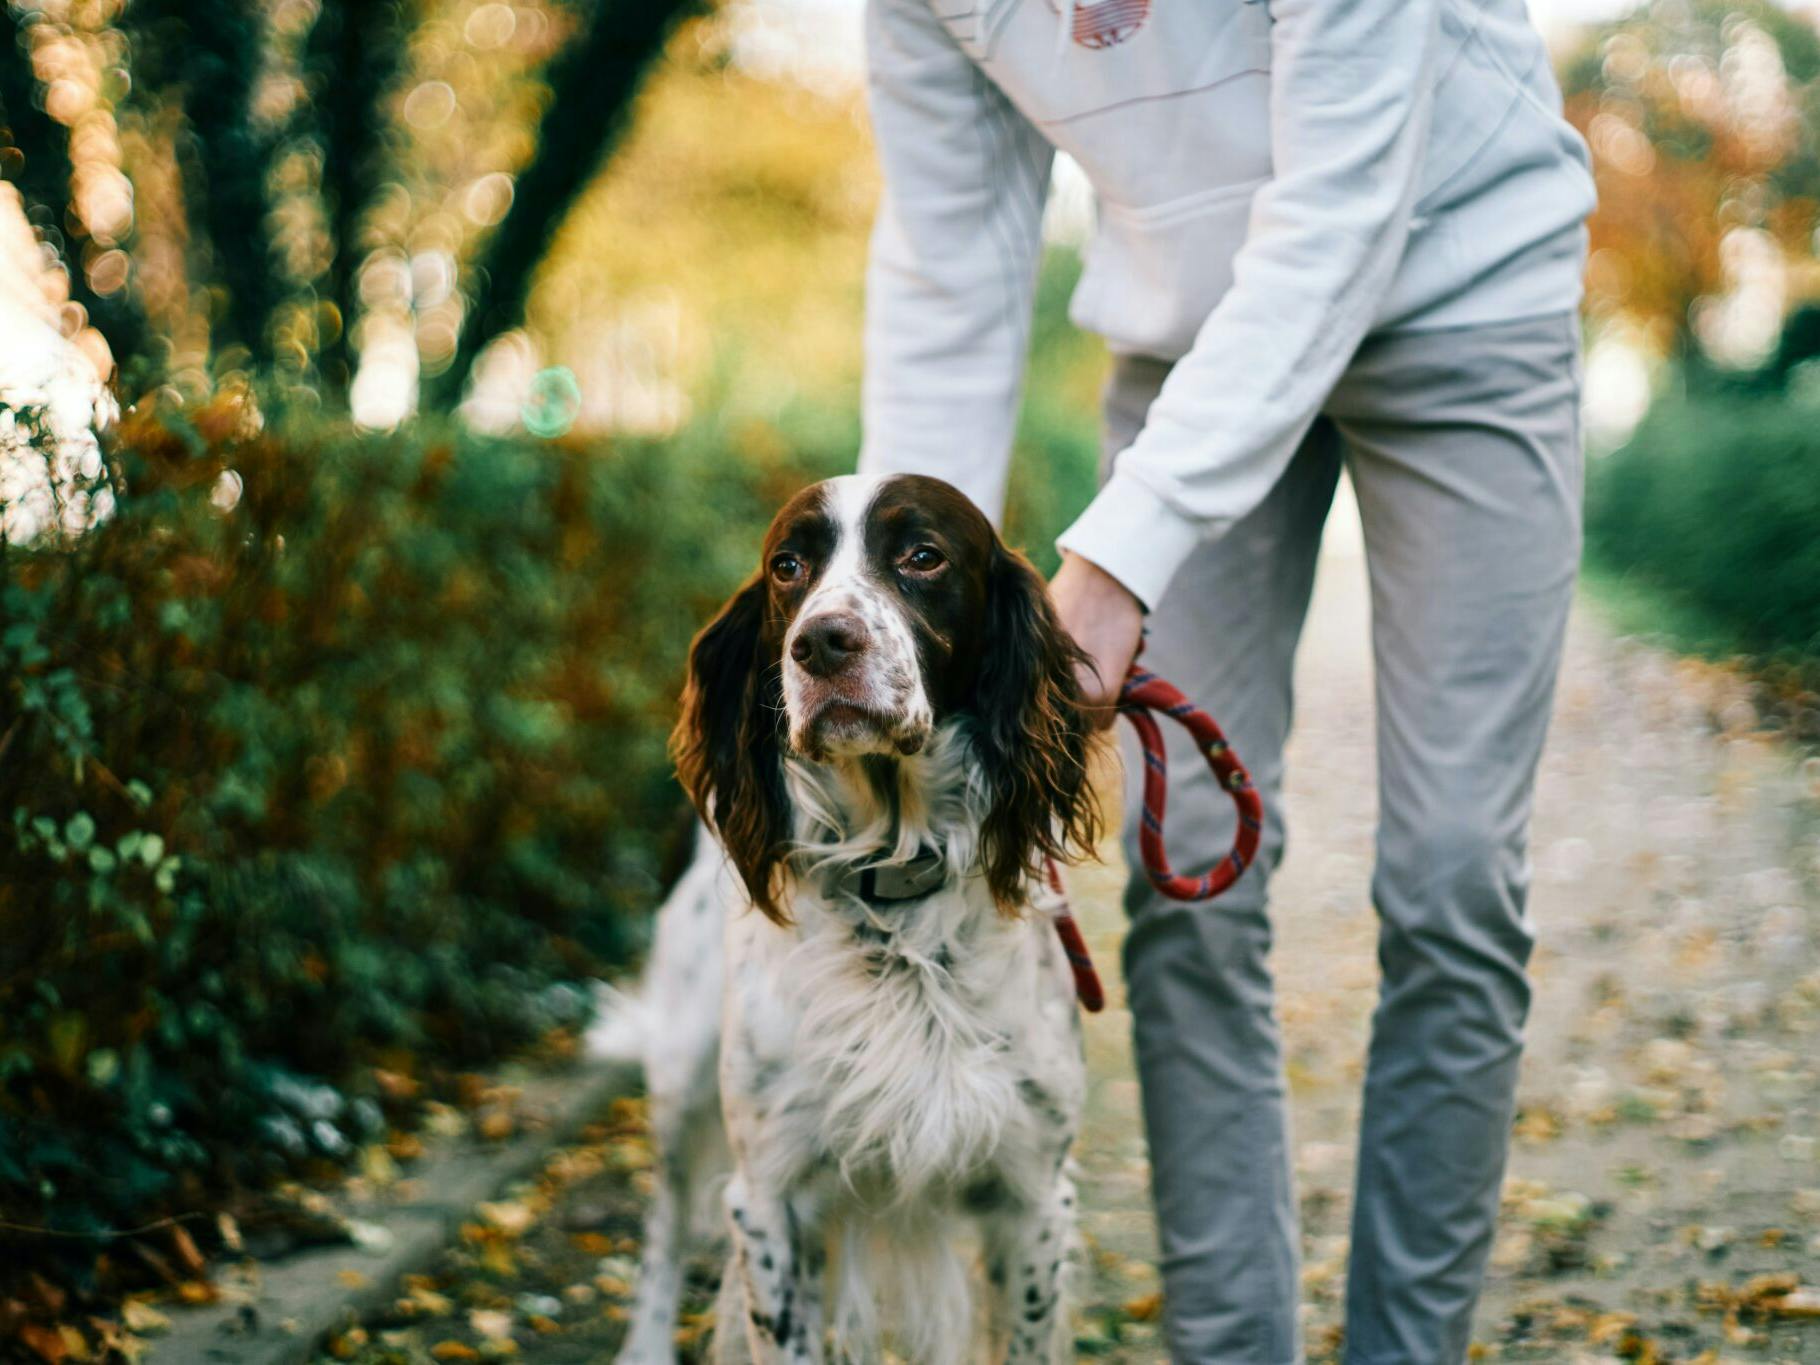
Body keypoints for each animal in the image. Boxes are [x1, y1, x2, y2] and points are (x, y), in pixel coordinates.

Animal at [596, 473, 1099, 1365]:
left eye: (923, 556)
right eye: (788, 566)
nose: (821, 644)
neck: (894, 885)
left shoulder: (1035, 1196)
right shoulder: (768, 1197)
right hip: (683, 1072)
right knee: (664, 1224)